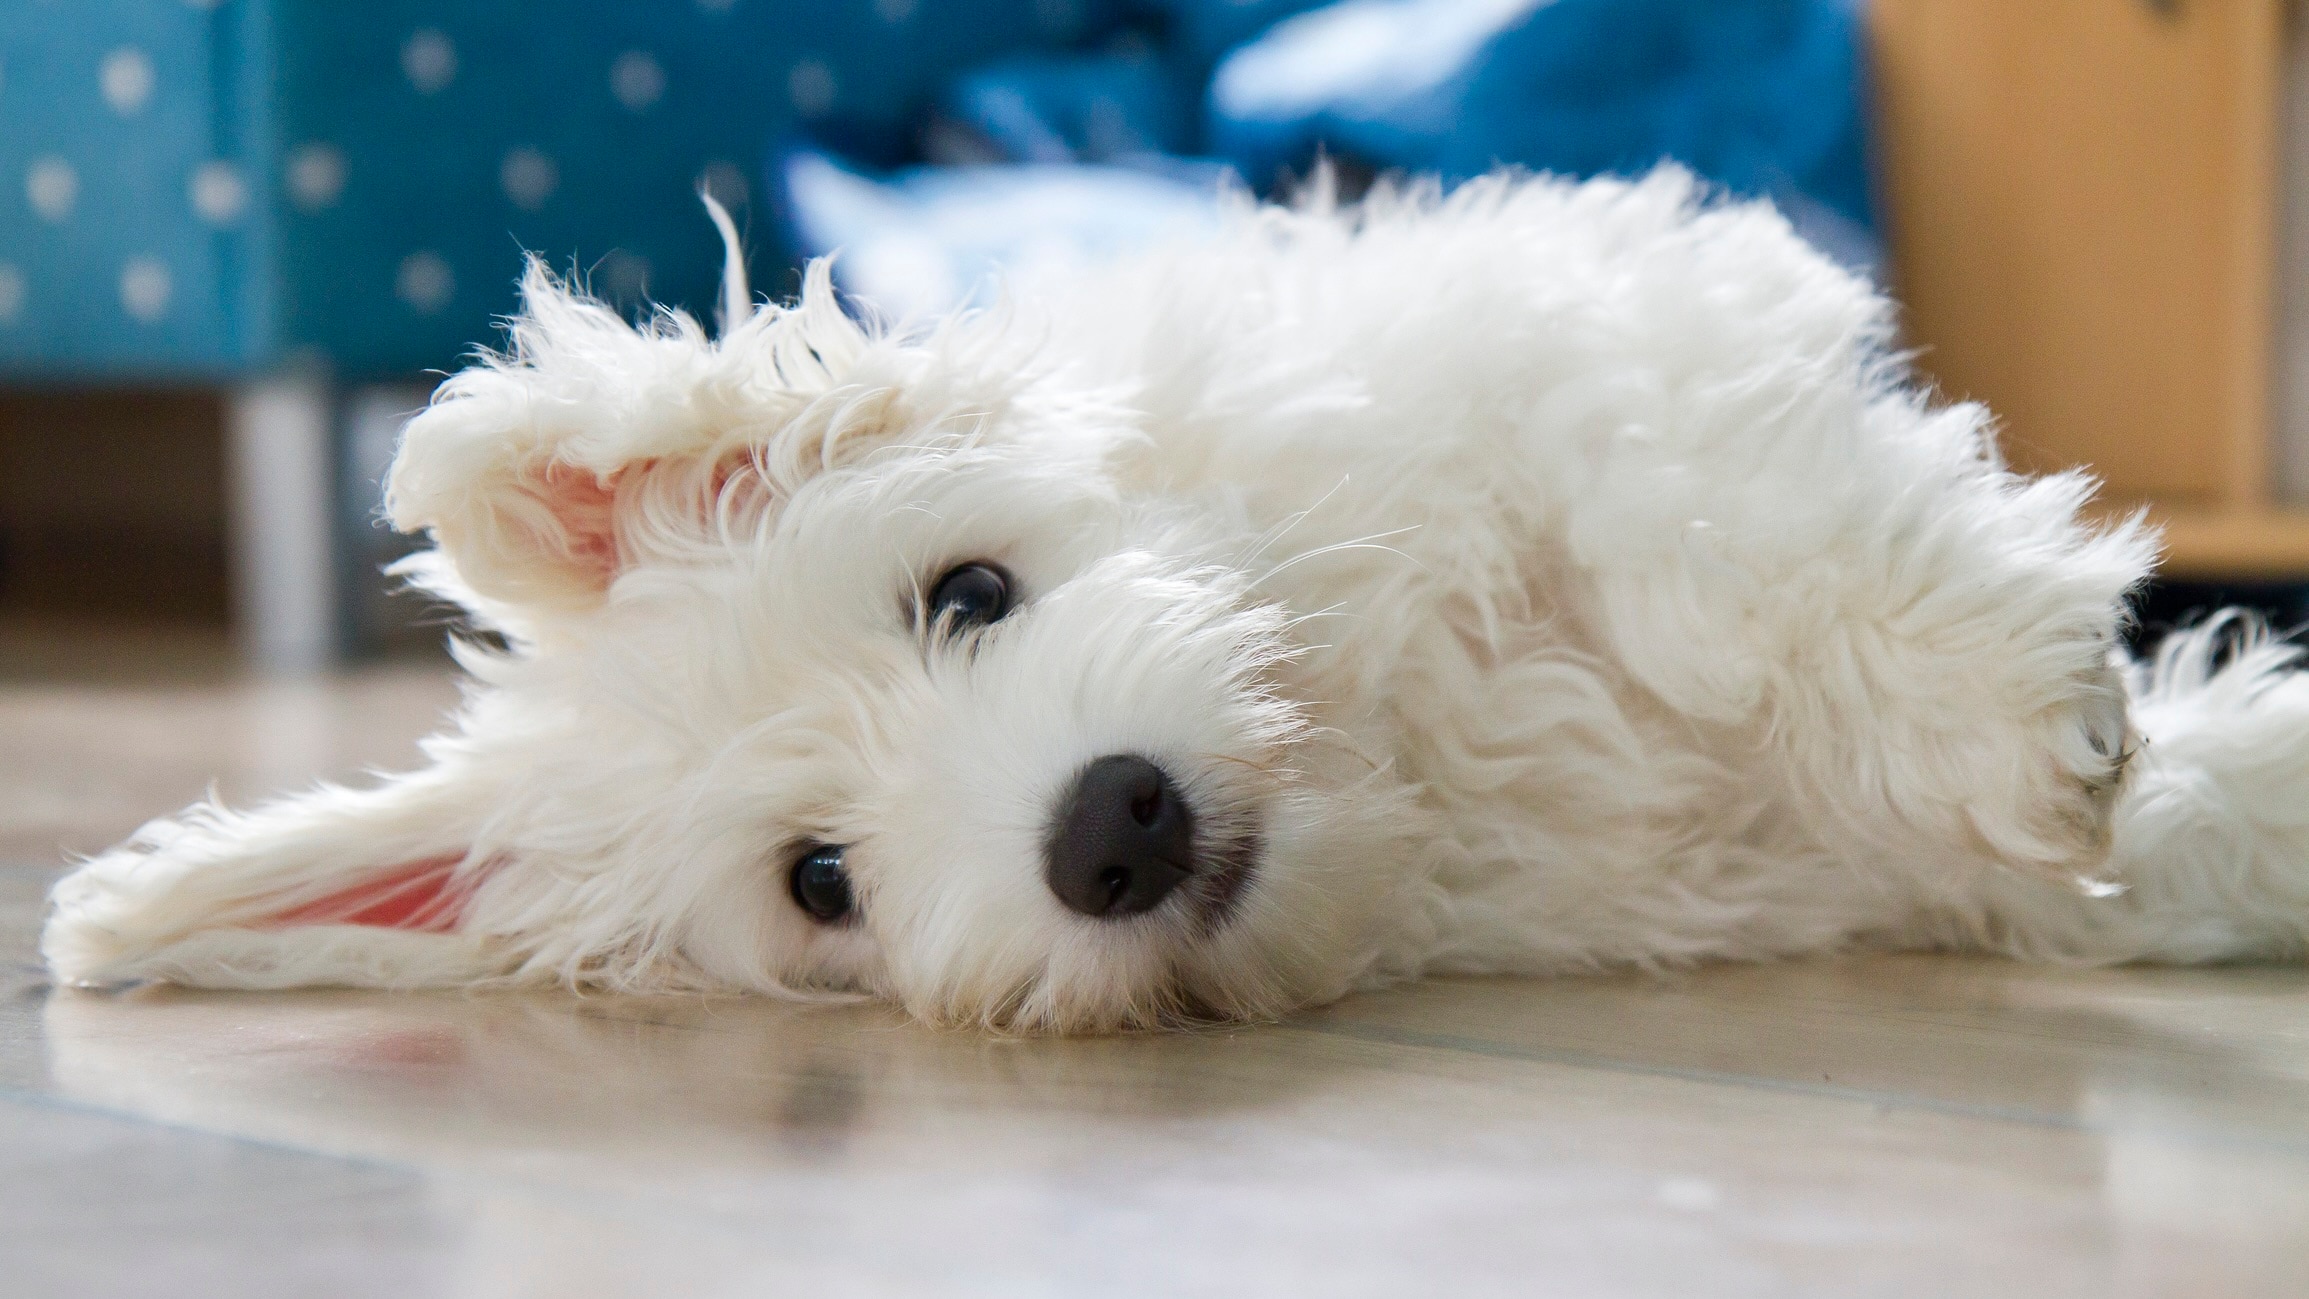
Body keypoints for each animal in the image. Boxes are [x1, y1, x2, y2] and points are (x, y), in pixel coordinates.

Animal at [45, 170, 2309, 1038]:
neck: (1391, 746)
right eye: (818, 881)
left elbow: (1696, 530)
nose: (1110, 827)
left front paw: (2013, 717)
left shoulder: (1598, 326)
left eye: (969, 588)